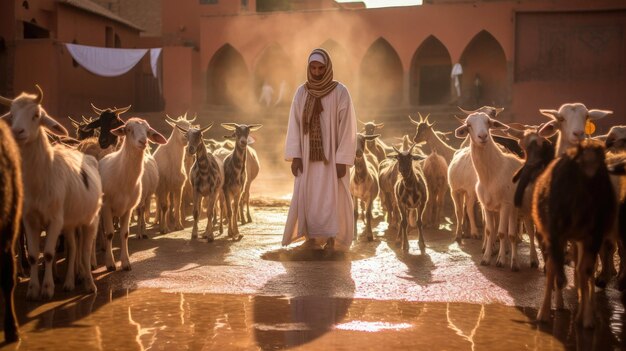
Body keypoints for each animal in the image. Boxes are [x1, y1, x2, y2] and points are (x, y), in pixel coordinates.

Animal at [0, 86, 100, 302]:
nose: (17, 132)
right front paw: (32, 289)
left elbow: (47, 253)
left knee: (86, 249)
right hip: (71, 223)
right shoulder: (30, 220)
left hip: (91, 219)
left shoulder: (55, 220)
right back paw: (71, 280)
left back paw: (89, 282)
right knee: (73, 247)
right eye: (11, 115)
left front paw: (47, 288)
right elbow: (33, 255)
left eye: (36, 115)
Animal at [98, 119, 166, 272]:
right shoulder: (106, 207)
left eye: (148, 131)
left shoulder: (128, 209)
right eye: (128, 130)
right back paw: (102, 245)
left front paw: (125, 262)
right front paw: (110, 263)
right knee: (101, 229)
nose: (143, 141)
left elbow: (125, 233)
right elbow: (110, 233)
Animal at [532, 139, 616, 328]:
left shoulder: (593, 237)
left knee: (580, 270)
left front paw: (586, 318)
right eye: (579, 161)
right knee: (553, 268)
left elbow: (585, 270)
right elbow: (556, 268)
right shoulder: (555, 234)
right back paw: (546, 311)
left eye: (602, 162)